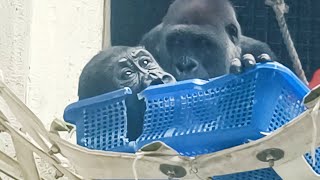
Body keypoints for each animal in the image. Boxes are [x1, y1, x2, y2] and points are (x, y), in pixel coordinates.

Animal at [139, 0, 276, 81]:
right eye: (177, 41)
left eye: (203, 43)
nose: (185, 65)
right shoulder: (149, 41)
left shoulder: (260, 49)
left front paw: (245, 63)